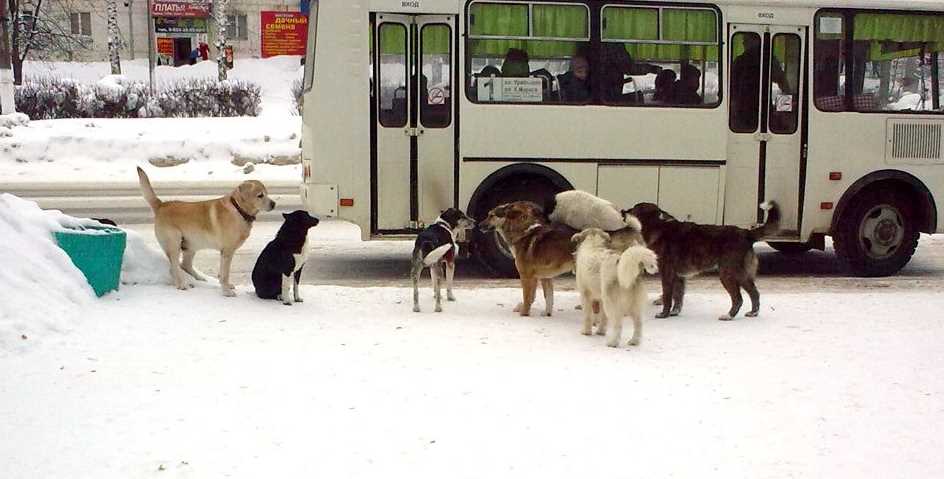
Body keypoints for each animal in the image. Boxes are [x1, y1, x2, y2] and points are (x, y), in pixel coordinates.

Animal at [136, 168, 276, 296]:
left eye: (267, 193)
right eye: (260, 195)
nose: (274, 204)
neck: (239, 210)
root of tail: (161, 205)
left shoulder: (224, 253)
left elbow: (223, 273)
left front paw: (226, 286)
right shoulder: (227, 252)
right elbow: (225, 274)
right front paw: (226, 291)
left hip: (190, 246)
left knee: (185, 265)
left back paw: (199, 279)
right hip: (174, 244)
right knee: (174, 267)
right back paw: (181, 285)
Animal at [480, 202, 648, 318]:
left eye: (491, 215)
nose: (479, 225)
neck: (523, 233)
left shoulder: (527, 277)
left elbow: (528, 298)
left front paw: (524, 314)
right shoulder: (545, 278)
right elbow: (548, 298)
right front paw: (547, 314)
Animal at [628, 201, 780, 320]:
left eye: (635, 208)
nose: (624, 211)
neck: (658, 227)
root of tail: (746, 233)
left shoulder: (667, 273)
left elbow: (667, 297)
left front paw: (664, 314)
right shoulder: (679, 277)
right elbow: (678, 297)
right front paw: (674, 313)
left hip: (728, 274)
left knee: (738, 298)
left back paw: (728, 316)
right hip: (742, 275)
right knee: (754, 293)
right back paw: (753, 313)